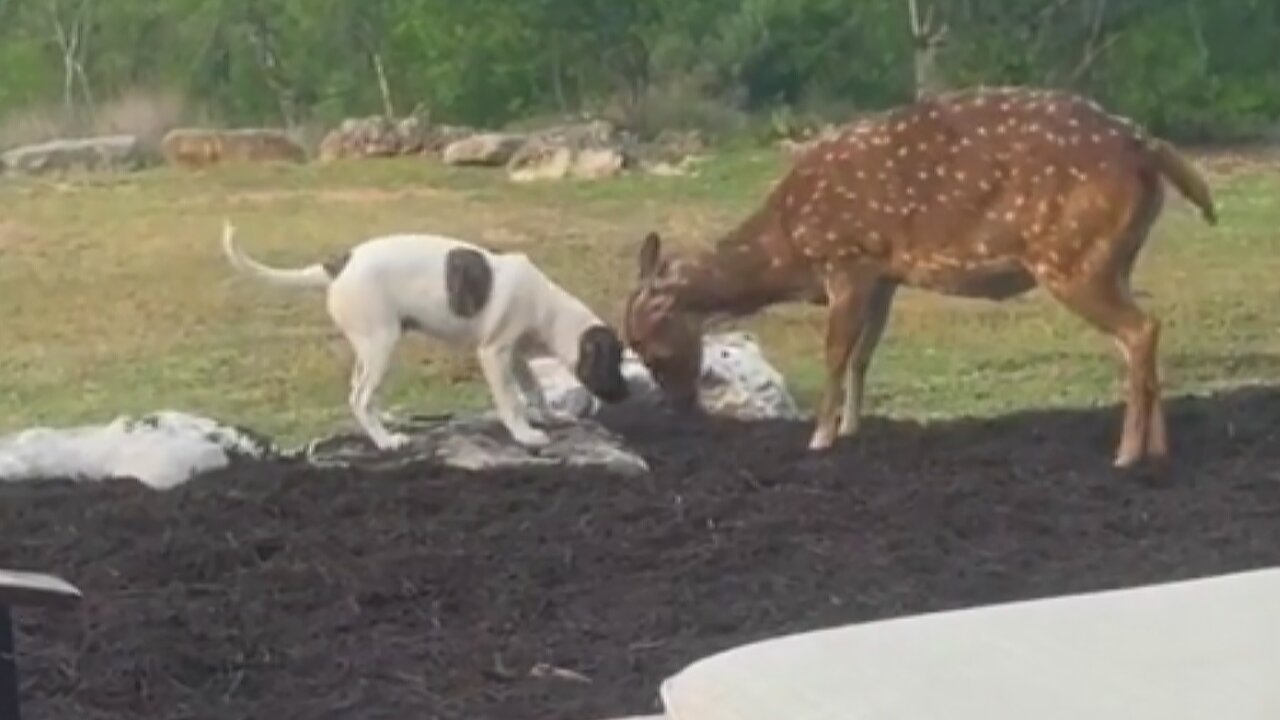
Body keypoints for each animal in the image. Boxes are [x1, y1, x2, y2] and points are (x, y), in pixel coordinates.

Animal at [220, 219, 629, 448]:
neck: (548, 307)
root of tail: (337, 266)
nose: (624, 394)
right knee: (359, 397)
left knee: (359, 392)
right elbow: (511, 400)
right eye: (611, 364)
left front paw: (550, 416)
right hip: (382, 345)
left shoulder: (513, 354)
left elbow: (534, 390)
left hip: (370, 347)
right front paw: (525, 434)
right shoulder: (494, 353)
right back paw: (386, 442)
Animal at [627, 85, 1218, 466]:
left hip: (1073, 257)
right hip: (1112, 257)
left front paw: (820, 439)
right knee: (1143, 332)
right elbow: (864, 355)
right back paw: (1158, 449)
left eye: (652, 346)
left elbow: (836, 353)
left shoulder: (848, 258)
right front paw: (852, 428)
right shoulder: (885, 274)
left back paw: (1126, 455)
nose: (681, 408)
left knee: (1139, 330)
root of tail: (1149, 147)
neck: (790, 248)